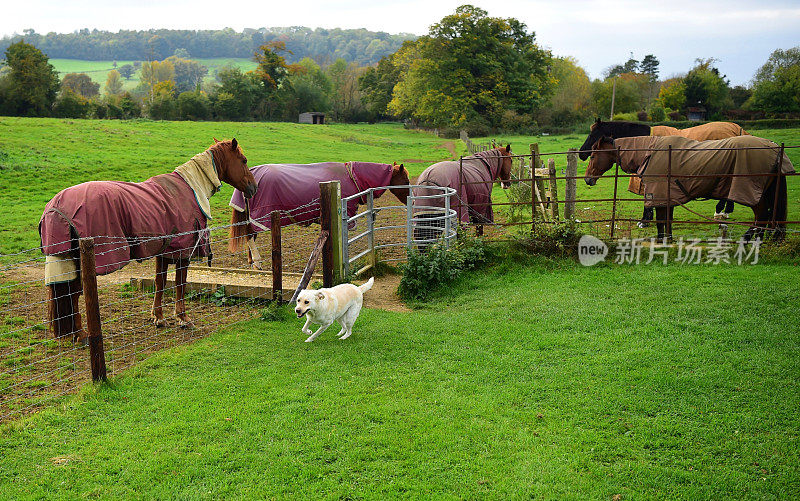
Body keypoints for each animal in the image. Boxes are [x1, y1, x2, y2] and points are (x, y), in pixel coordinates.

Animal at [40, 137, 256, 340]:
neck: (191, 188)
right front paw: (183, 318)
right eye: (244, 160)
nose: (253, 188)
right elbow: (180, 283)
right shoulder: (182, 252)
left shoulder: (165, 251)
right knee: (74, 293)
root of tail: (56, 206)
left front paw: (158, 317)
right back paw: (81, 335)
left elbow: (160, 282)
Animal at [576, 119, 752, 225]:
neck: (644, 142)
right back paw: (725, 211)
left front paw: (645, 220)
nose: (581, 153)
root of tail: (739, 130)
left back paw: (720, 211)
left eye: (592, 134)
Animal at [584, 135, 792, 240]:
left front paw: (661, 240)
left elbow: (661, 222)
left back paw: (749, 238)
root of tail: (773, 148)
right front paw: (667, 240)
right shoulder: (668, 197)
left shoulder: (659, 195)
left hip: (751, 193)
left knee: (761, 215)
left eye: (593, 155)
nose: (587, 179)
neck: (649, 152)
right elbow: (666, 222)